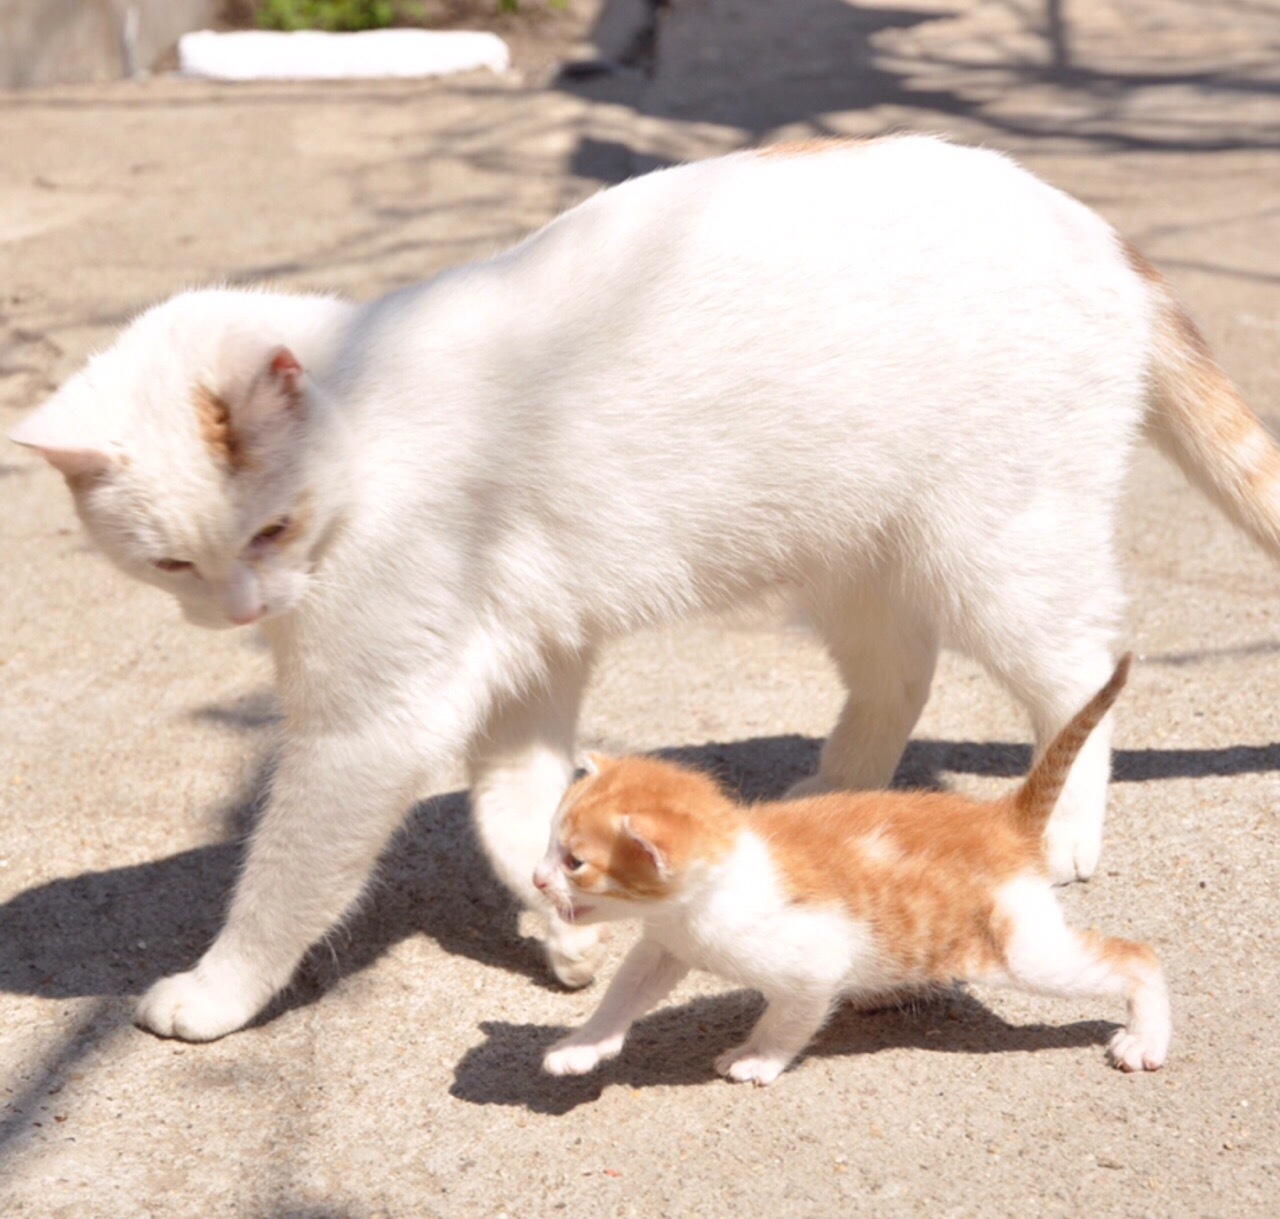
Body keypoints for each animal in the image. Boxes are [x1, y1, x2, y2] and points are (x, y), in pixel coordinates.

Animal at [532, 655, 1172, 1085]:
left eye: (575, 862)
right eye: (548, 844)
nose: (537, 880)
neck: (703, 899)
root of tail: (1000, 821)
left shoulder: (813, 961)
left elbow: (791, 1018)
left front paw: (756, 1057)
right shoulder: (666, 943)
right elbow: (625, 992)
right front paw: (584, 1045)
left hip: (1019, 950)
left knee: (1136, 957)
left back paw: (1145, 1037)